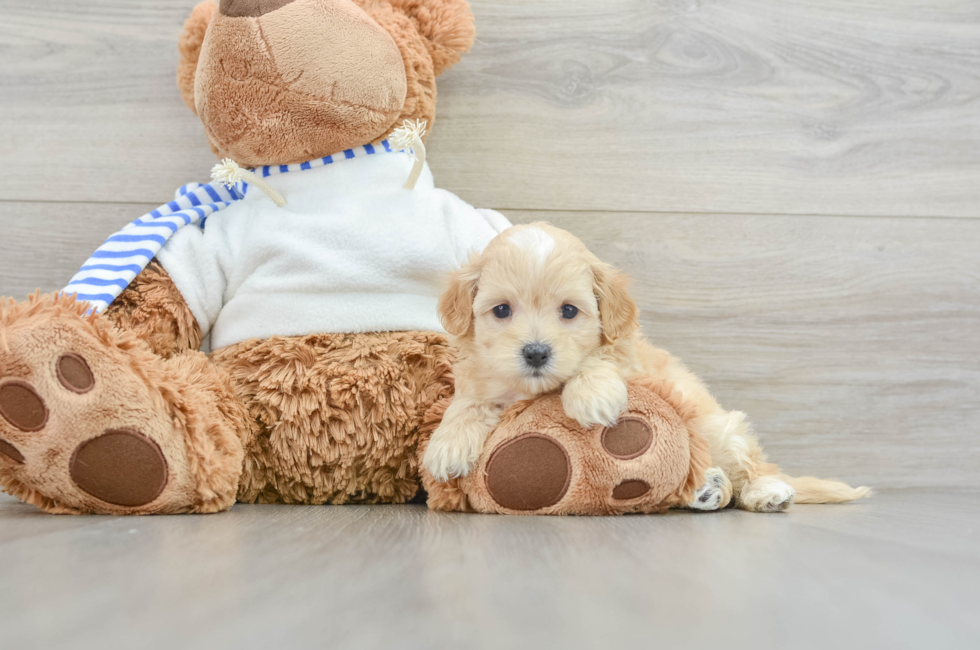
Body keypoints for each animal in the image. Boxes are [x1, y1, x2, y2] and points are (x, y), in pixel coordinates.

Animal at [424, 223, 868, 512]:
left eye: (569, 311)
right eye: (501, 311)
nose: (535, 353)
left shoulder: (632, 361)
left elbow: (601, 360)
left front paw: (591, 396)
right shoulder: (481, 376)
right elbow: (468, 402)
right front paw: (448, 444)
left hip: (719, 428)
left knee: (752, 466)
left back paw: (766, 491)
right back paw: (707, 488)